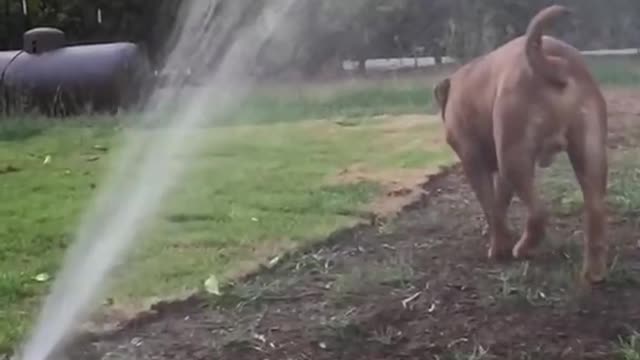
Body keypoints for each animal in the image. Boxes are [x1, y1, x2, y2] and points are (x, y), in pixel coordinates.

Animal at [432, 4, 608, 282]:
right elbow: (499, 203)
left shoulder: (473, 162)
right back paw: (594, 272)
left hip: (513, 157)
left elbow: (491, 207)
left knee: (538, 213)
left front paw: (498, 247)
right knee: (595, 209)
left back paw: (522, 249)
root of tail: (554, 62)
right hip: (589, 153)